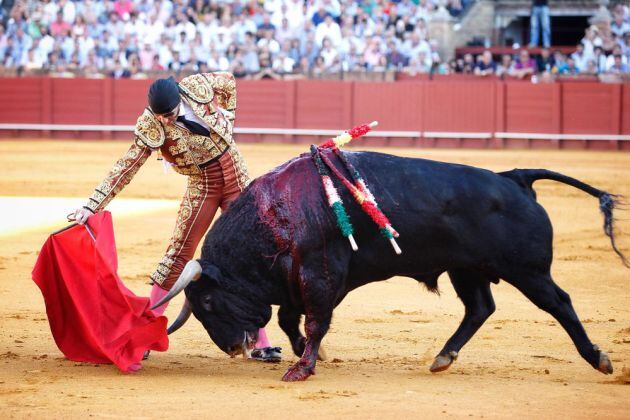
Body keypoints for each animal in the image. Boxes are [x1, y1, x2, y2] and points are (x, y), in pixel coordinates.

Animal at [154, 149, 630, 382]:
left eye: (208, 303)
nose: (232, 347)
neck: (274, 214)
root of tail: (513, 177)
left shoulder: (320, 275)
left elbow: (313, 321)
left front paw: (301, 368)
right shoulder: (298, 281)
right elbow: (294, 321)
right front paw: (310, 355)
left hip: (528, 272)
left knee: (560, 304)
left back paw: (600, 360)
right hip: (467, 269)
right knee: (480, 308)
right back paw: (442, 357)